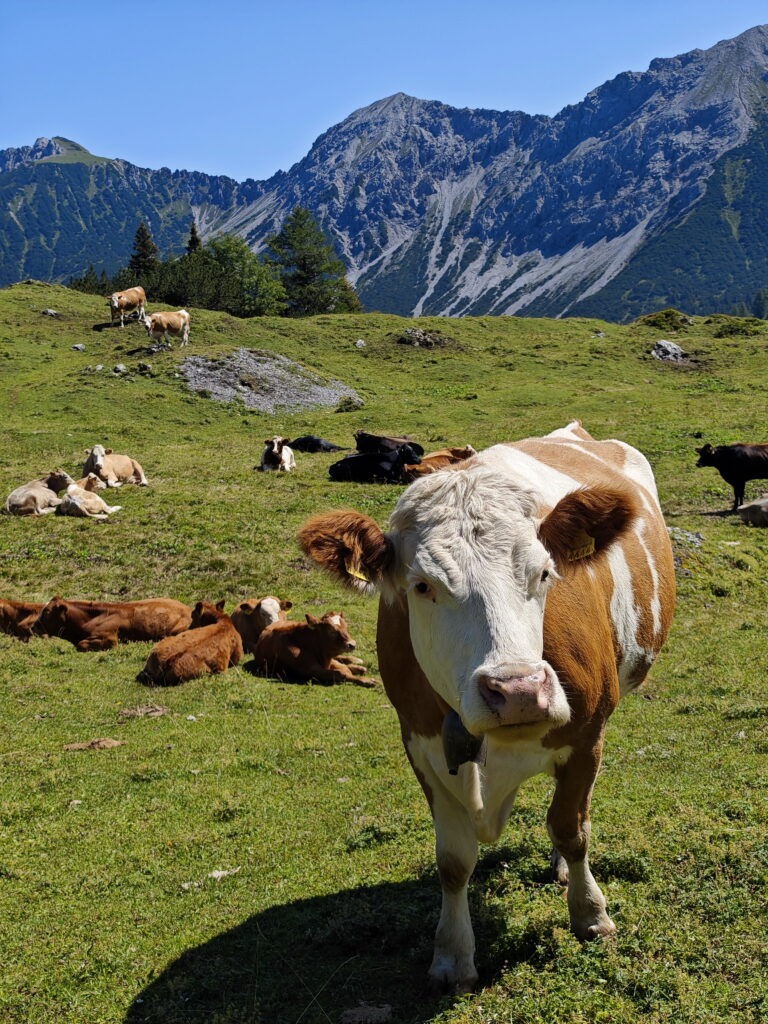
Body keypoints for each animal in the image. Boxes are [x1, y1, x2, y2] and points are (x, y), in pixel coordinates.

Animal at [296, 417, 675, 991]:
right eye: (422, 585)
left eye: (544, 573)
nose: (517, 691)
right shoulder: (421, 746)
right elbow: (454, 860)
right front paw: (453, 956)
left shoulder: (588, 735)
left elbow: (572, 828)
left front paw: (590, 913)